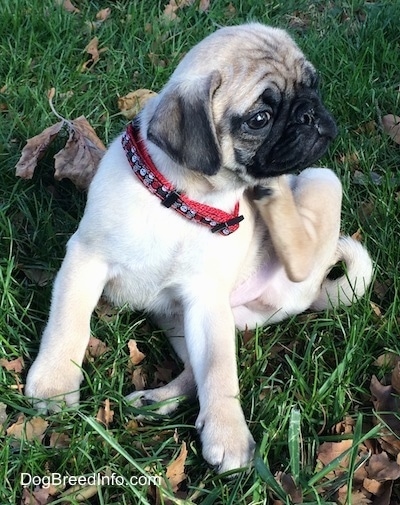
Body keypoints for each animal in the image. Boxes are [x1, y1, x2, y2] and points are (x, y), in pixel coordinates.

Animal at [25, 23, 372, 472]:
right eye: (260, 119)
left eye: (314, 87)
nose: (310, 114)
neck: (185, 199)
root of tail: (307, 297)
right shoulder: (86, 259)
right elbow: (69, 325)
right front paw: (54, 386)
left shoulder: (207, 302)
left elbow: (220, 372)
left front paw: (228, 434)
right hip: (176, 319)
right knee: (191, 374)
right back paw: (154, 401)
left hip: (318, 180)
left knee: (299, 253)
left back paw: (271, 192)